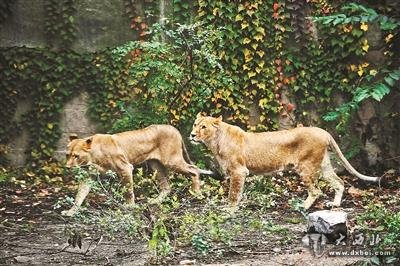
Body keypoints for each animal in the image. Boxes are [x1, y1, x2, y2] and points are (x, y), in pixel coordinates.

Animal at [62, 124, 214, 216]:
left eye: (76, 156)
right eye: (67, 155)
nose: (67, 167)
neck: (93, 156)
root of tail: (174, 128)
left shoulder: (125, 168)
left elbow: (128, 191)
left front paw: (130, 207)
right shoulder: (89, 176)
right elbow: (80, 195)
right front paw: (71, 212)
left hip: (171, 160)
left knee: (194, 169)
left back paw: (197, 193)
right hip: (156, 165)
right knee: (166, 186)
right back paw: (155, 201)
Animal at [189, 114, 380, 210]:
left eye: (203, 127)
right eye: (195, 124)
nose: (191, 135)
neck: (215, 141)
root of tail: (323, 131)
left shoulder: (239, 171)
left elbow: (233, 194)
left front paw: (229, 211)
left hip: (306, 167)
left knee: (316, 190)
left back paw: (303, 207)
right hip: (324, 165)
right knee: (339, 182)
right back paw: (335, 204)